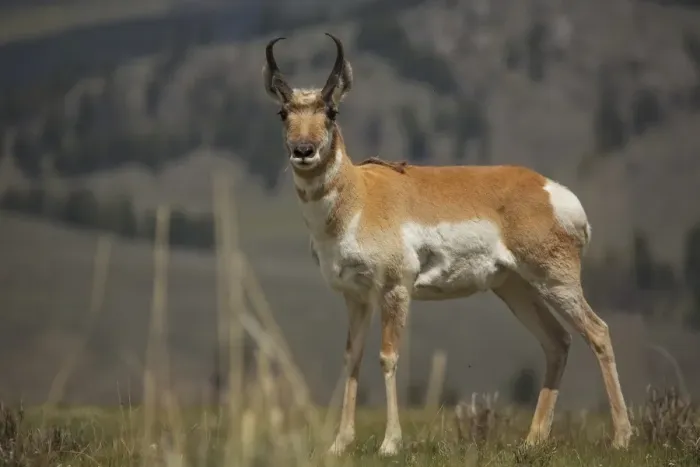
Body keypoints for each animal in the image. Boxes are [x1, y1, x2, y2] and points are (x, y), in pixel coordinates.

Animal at [262, 33, 632, 456]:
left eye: (332, 111)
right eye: (283, 112)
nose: (303, 151)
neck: (359, 196)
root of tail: (549, 190)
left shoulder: (395, 290)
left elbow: (388, 358)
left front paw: (390, 443)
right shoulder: (355, 296)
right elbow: (351, 359)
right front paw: (339, 444)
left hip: (556, 282)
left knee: (598, 332)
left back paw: (621, 437)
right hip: (516, 288)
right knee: (558, 342)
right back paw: (533, 439)